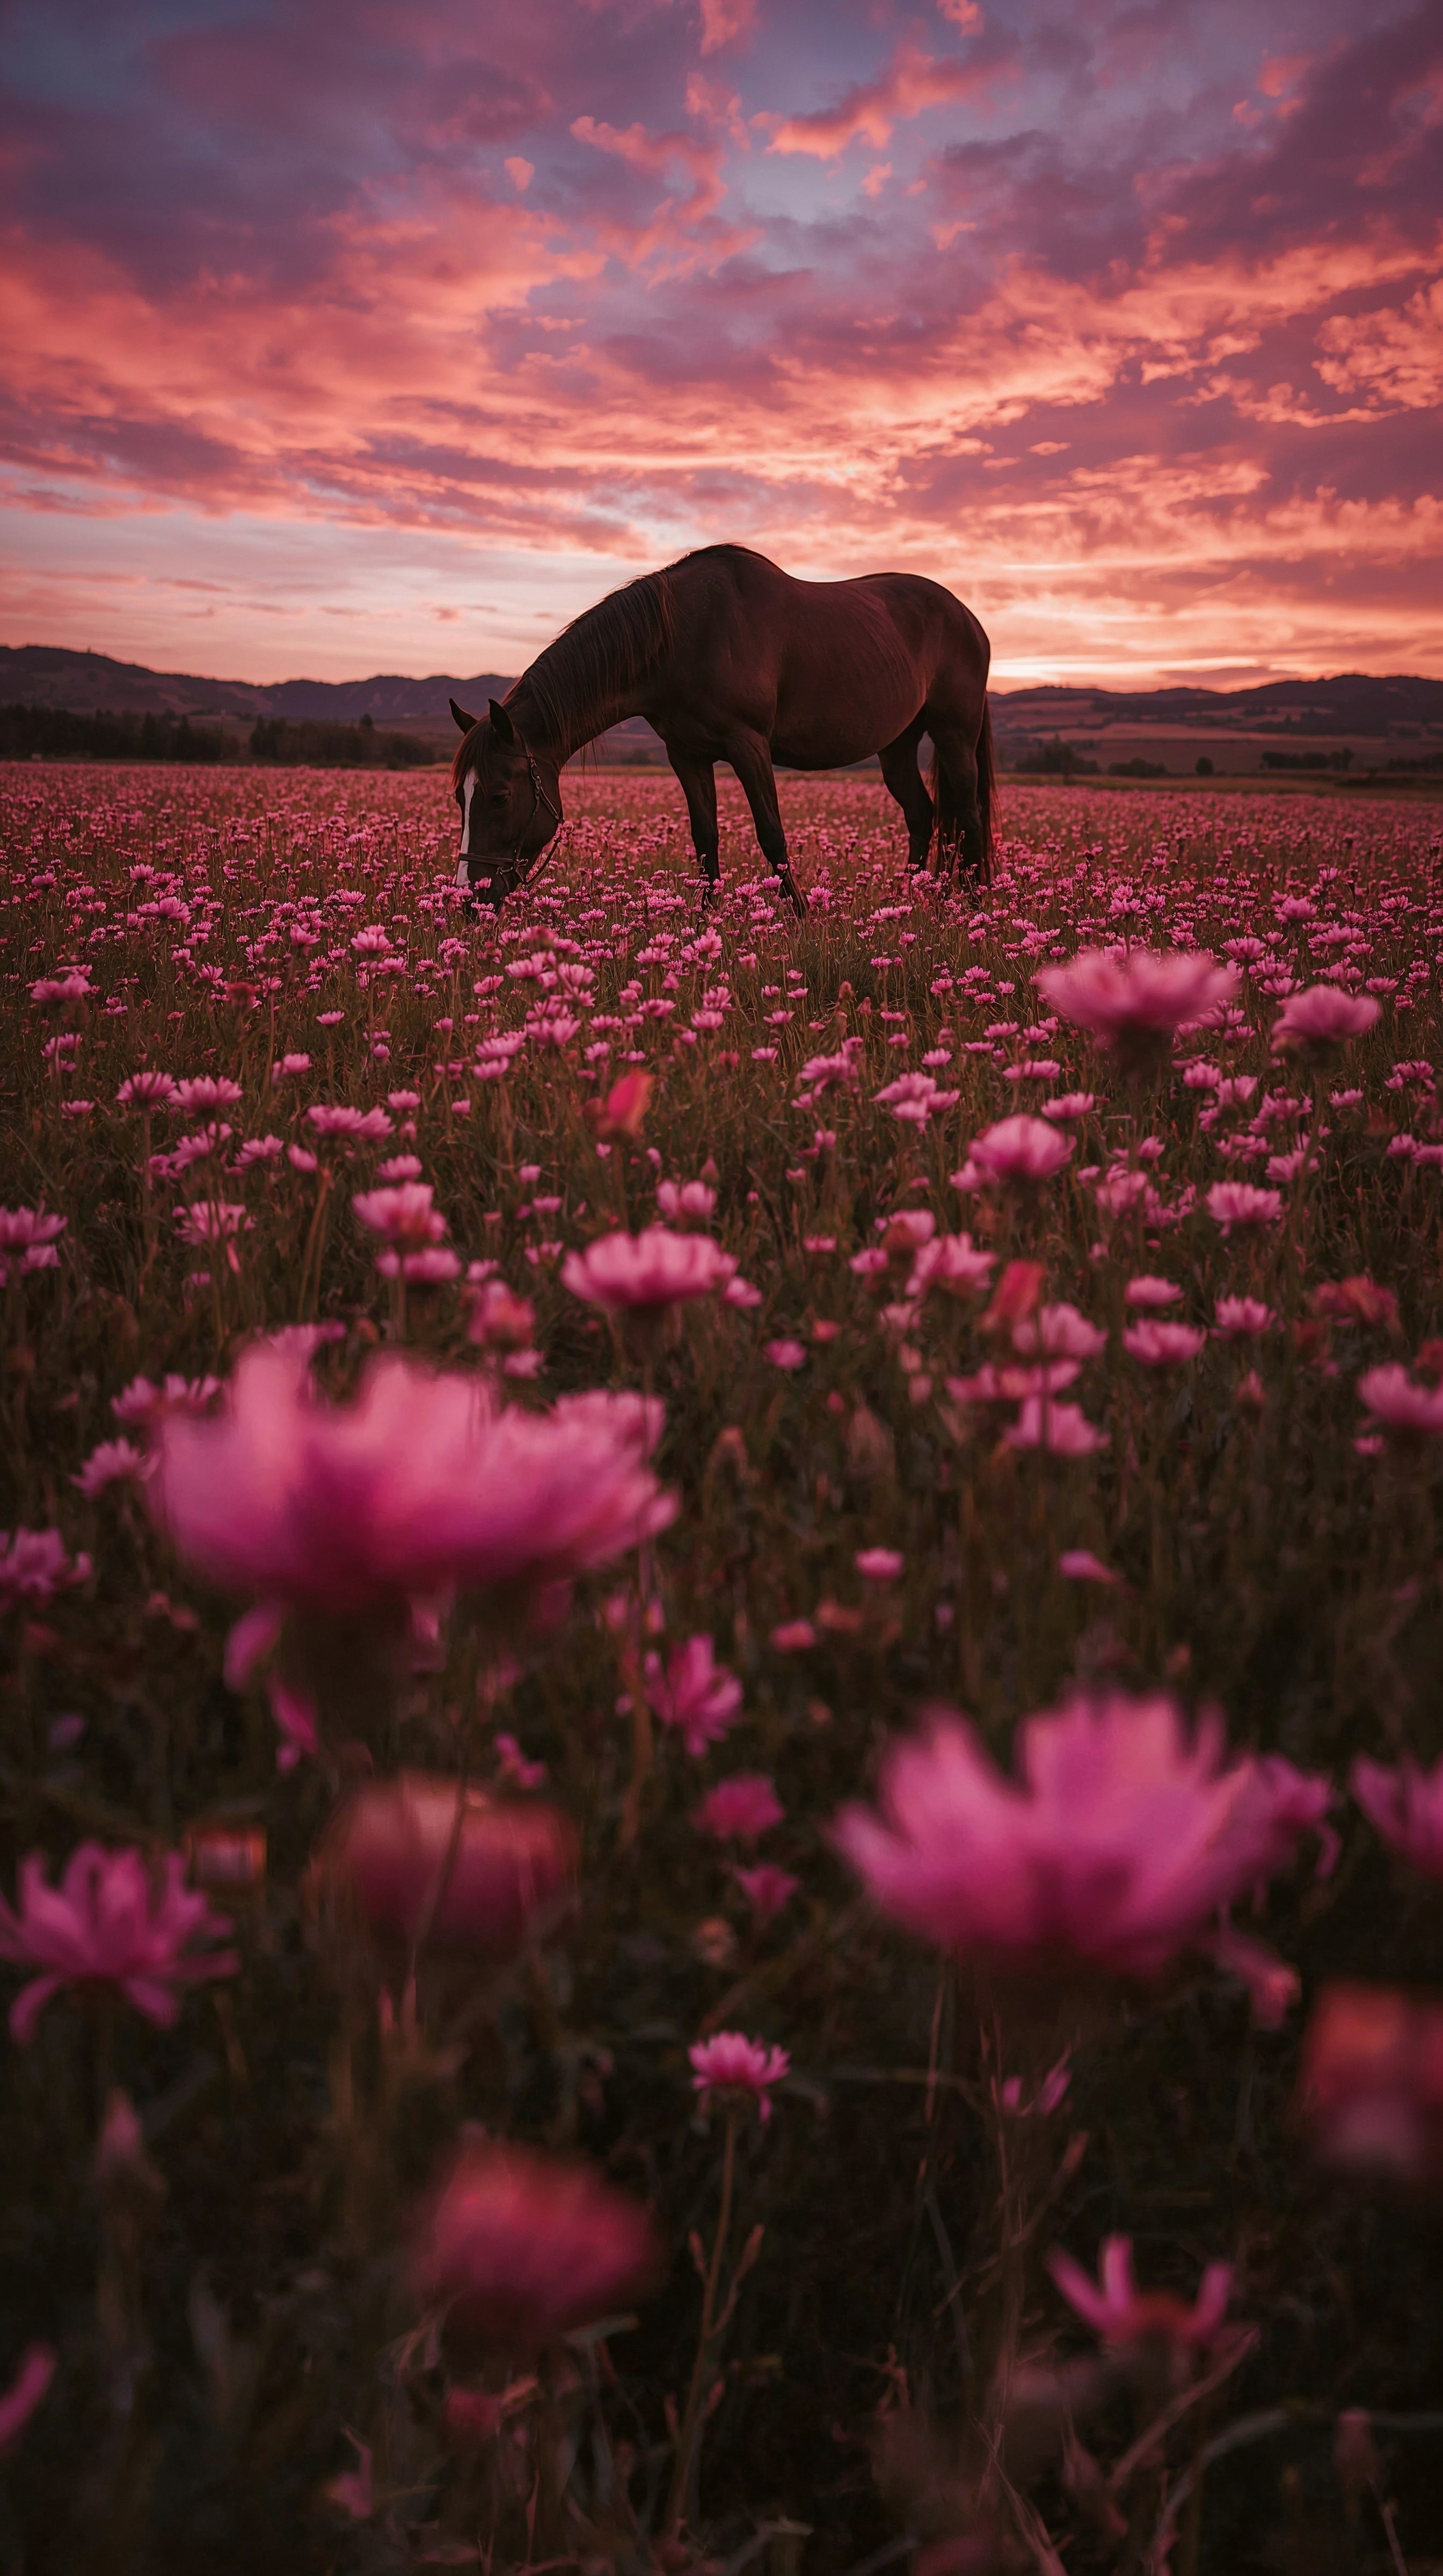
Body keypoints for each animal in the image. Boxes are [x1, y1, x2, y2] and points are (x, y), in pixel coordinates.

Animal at [449, 542, 994, 917]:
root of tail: (969, 617)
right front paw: (705, 925)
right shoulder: (687, 755)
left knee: (969, 813)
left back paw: (973, 905)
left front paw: (802, 919)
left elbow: (772, 835)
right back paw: (910, 904)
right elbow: (705, 839)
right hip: (897, 747)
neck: (684, 638)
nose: (468, 899)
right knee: (922, 815)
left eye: (498, 796)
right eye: (460, 797)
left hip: (955, 735)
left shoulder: (748, 745)